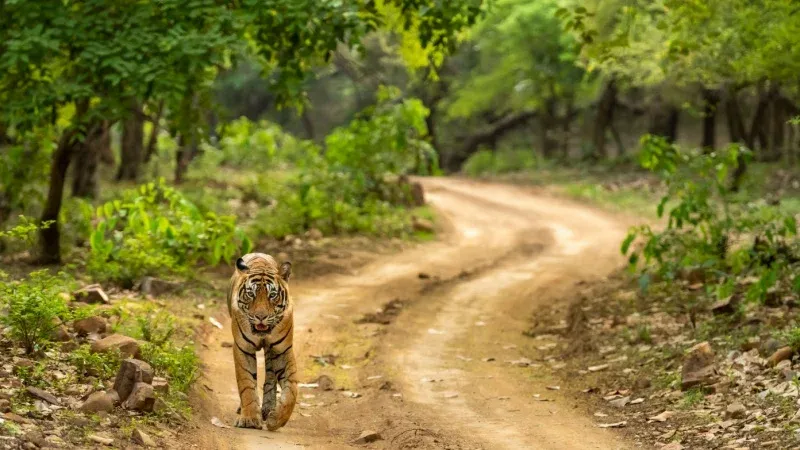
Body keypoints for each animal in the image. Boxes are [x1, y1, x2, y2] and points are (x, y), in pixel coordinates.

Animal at [227, 251, 298, 430]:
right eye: (251, 294)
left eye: (272, 295)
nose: (261, 316)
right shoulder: (242, 348)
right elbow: (246, 383)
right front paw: (249, 419)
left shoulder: (283, 350)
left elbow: (292, 388)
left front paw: (277, 419)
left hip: (271, 352)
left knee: (270, 376)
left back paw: (268, 408)